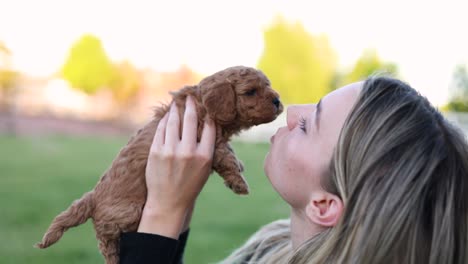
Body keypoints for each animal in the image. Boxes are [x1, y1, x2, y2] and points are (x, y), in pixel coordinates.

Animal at [36, 66, 284, 264]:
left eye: (268, 86)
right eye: (251, 91)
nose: (278, 101)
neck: (202, 104)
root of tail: (92, 198)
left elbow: (229, 151)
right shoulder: (206, 139)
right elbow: (226, 156)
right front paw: (239, 183)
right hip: (127, 214)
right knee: (107, 243)